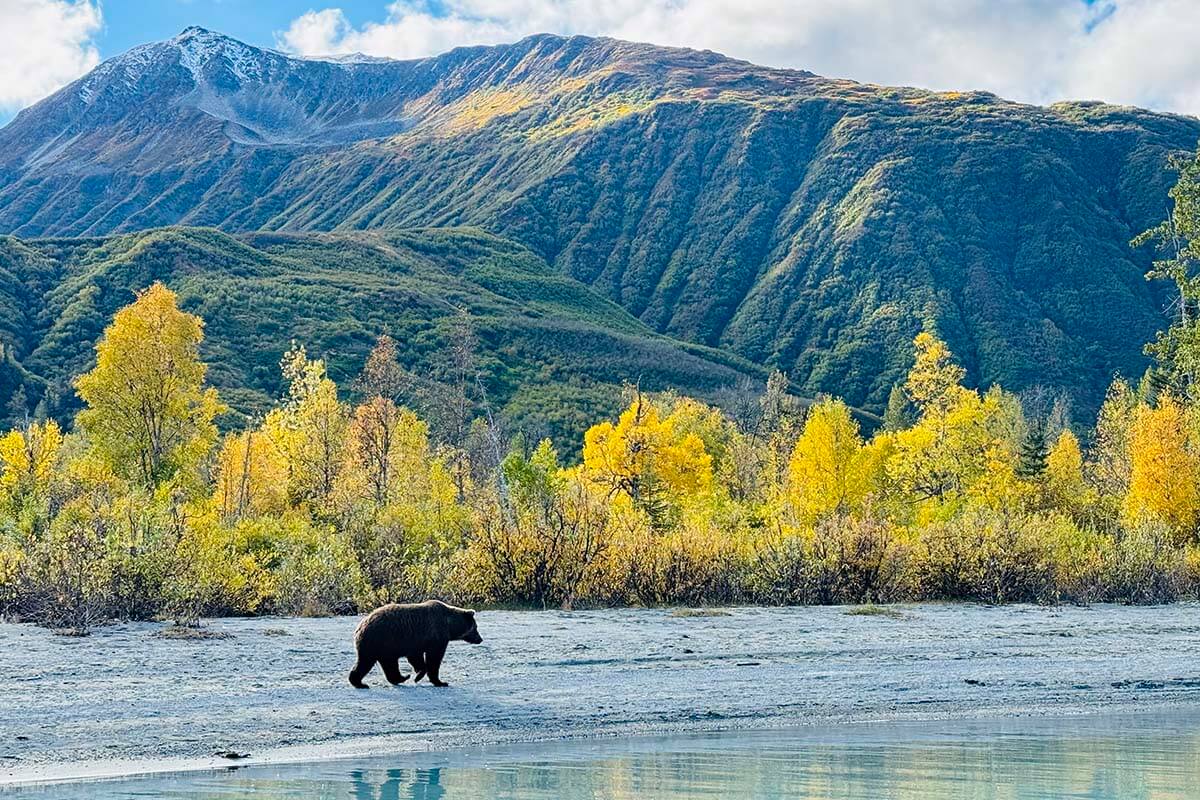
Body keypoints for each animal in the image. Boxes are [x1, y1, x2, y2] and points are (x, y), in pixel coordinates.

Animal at [348, 599, 482, 690]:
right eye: (476, 627)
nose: (480, 639)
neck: (449, 625)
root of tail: (360, 627)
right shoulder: (435, 637)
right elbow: (434, 659)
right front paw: (440, 681)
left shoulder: (416, 642)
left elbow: (416, 658)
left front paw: (418, 675)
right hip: (380, 640)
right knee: (369, 662)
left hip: (382, 646)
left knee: (382, 664)